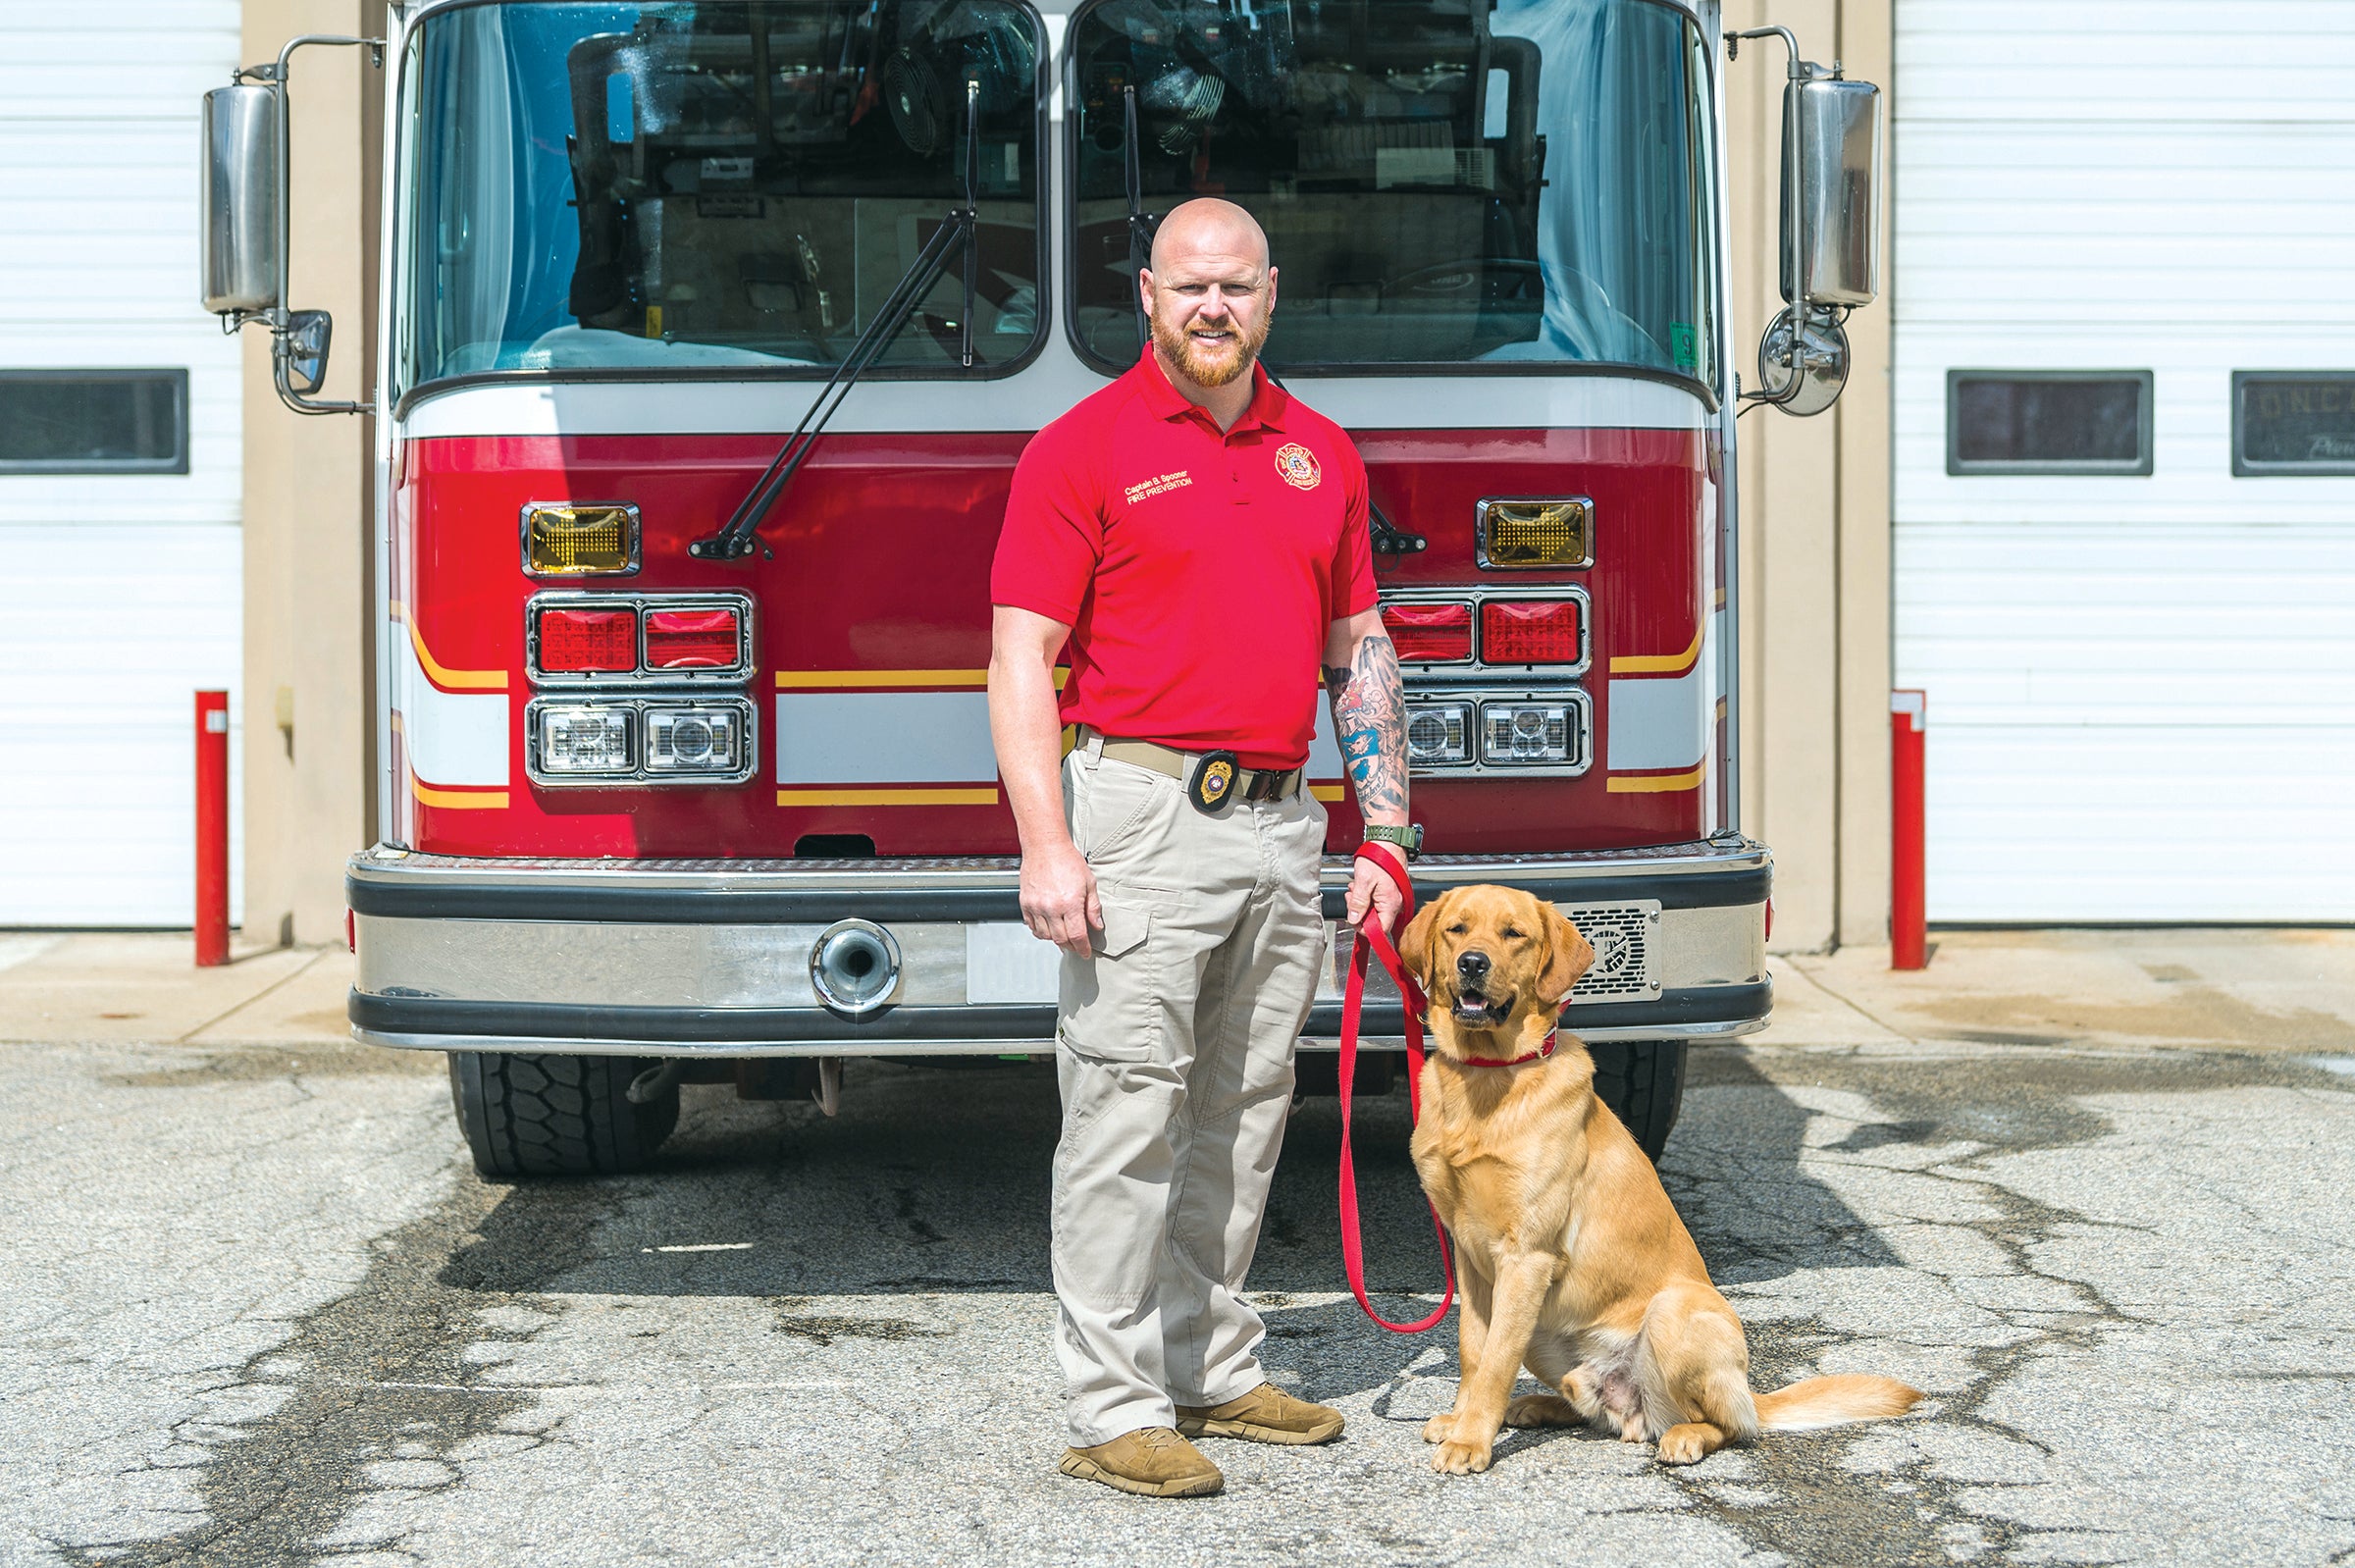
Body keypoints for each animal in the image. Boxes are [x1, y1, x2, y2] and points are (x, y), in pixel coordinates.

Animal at [1393, 885, 1911, 1469]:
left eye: (1513, 934)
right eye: (1457, 929)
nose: (1472, 963)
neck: (1487, 1077)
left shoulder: (1526, 1257)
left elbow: (1495, 1361)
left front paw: (1471, 1440)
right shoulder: (1471, 1257)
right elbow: (1472, 1351)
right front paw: (1461, 1421)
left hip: (1671, 1314)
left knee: (1729, 1425)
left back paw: (1685, 1436)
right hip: (1545, 1334)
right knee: (1598, 1411)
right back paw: (1539, 1406)